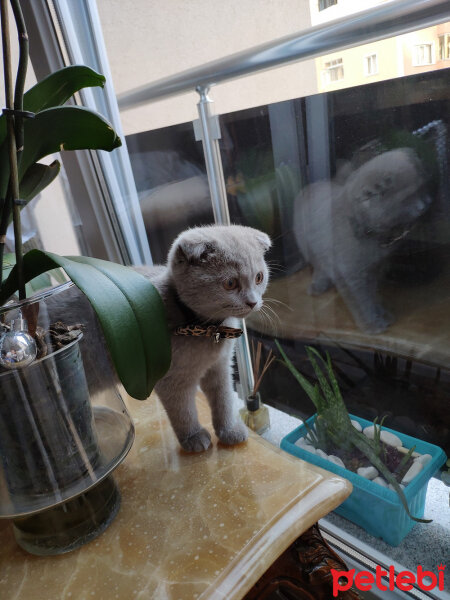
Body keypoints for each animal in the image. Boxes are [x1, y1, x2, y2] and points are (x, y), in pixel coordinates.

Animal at [294, 146, 430, 332]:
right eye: (408, 197)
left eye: (421, 188)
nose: (425, 205)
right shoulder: (351, 274)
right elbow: (362, 300)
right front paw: (371, 324)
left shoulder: (374, 267)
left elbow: (372, 294)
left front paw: (381, 313)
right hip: (309, 247)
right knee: (319, 266)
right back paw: (318, 285)